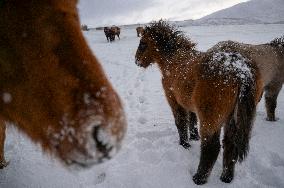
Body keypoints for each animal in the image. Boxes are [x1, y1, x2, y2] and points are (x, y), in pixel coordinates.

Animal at [135, 20, 264, 184]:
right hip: (232, 119)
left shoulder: (174, 101)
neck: (173, 60)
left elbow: (181, 122)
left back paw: (199, 178)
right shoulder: (189, 104)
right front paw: (194, 137)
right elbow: (192, 120)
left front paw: (184, 144)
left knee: (211, 147)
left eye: (143, 43)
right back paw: (226, 177)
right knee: (230, 144)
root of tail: (239, 70)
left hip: (210, 118)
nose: (136, 61)